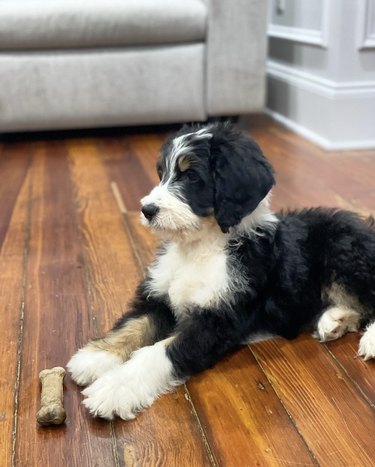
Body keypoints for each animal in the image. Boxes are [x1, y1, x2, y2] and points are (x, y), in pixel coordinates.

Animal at [67, 121, 375, 420]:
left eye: (191, 176)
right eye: (162, 173)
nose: (147, 210)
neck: (200, 247)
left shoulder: (219, 318)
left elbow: (159, 351)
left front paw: (114, 388)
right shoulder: (159, 296)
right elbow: (134, 325)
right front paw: (96, 357)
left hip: (344, 253)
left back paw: (368, 339)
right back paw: (334, 321)